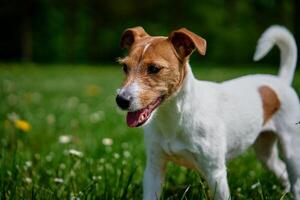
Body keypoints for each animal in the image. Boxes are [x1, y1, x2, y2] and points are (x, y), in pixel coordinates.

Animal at [115, 25, 300, 199]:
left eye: (154, 68)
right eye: (125, 67)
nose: (121, 100)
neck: (175, 118)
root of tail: (280, 81)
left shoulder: (215, 173)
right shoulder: (154, 169)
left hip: (292, 150)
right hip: (265, 152)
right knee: (281, 170)